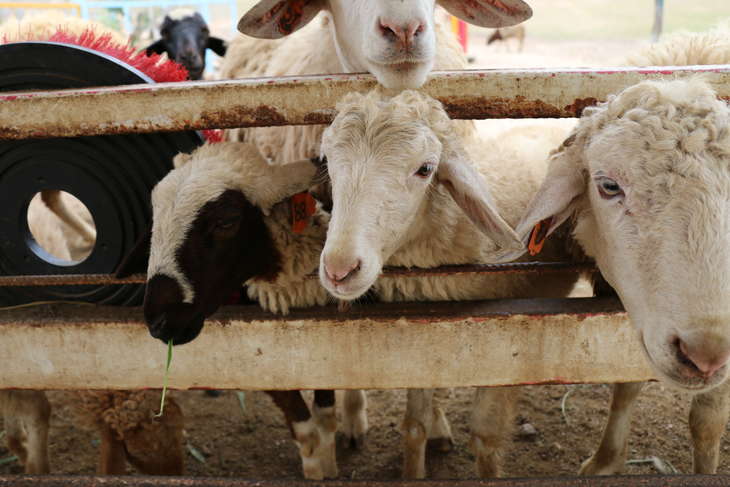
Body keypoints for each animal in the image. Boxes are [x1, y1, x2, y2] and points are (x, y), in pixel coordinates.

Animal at [116, 142, 366, 480]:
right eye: (155, 221)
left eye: (226, 221)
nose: (159, 322)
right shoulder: (256, 354)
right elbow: (306, 431)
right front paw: (318, 468)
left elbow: (325, 413)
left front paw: (329, 464)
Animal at [318, 89, 580, 478]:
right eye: (328, 161)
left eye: (426, 169)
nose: (339, 269)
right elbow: (414, 426)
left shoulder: (511, 345)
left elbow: (485, 438)